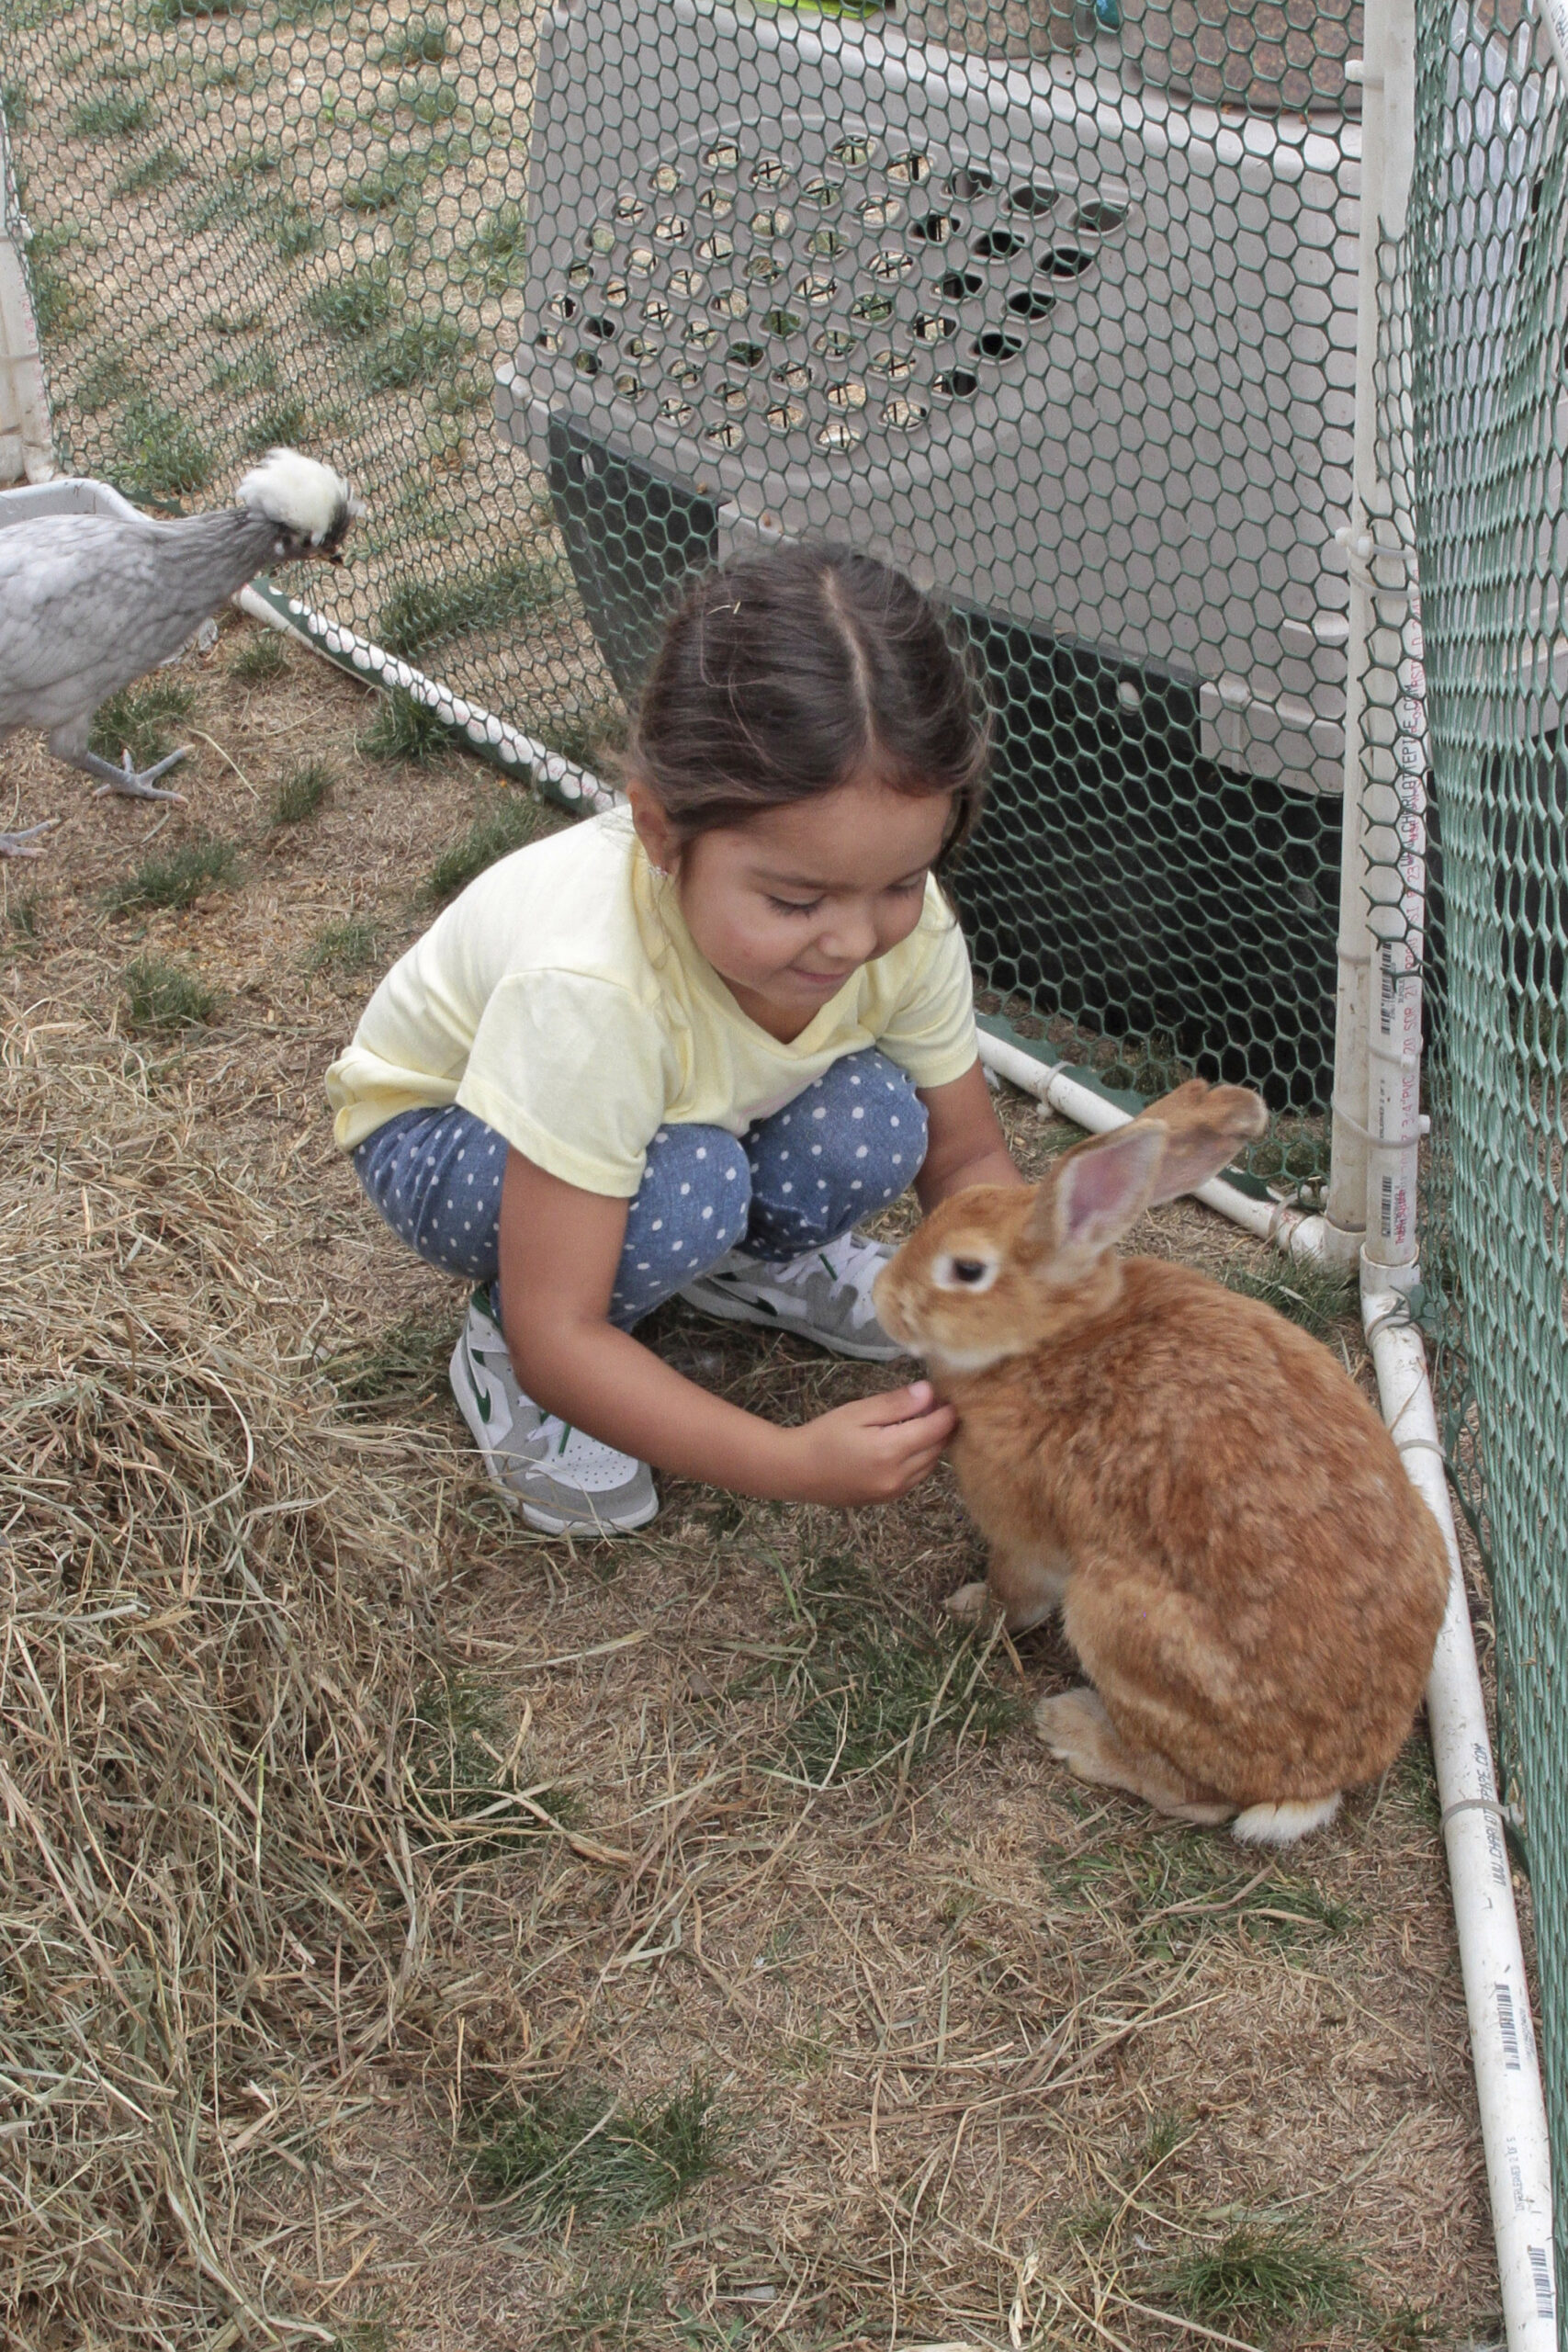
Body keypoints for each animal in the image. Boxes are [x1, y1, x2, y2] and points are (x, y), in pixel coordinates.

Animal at [879, 1077, 1457, 1834]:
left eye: (966, 1270)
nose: (883, 1299)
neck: (1047, 1341)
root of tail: (1319, 1780)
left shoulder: (1022, 1533)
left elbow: (1017, 1592)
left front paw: (971, 1607)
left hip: (1114, 1621)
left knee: (1193, 1794)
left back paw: (1073, 1730)